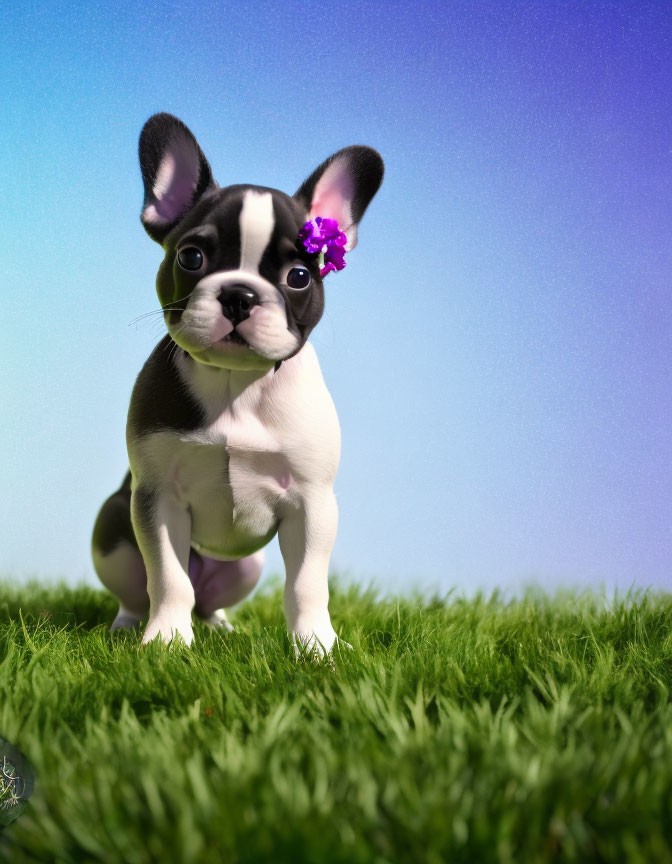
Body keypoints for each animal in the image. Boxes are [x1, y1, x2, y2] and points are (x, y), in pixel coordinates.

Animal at [92, 115, 384, 656]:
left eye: (299, 275)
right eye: (191, 257)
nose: (239, 294)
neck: (236, 385)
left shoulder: (313, 504)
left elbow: (306, 584)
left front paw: (318, 647)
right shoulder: (158, 499)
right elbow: (169, 578)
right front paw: (166, 642)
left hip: (246, 566)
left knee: (208, 602)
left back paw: (221, 626)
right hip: (114, 526)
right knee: (144, 591)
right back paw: (129, 627)